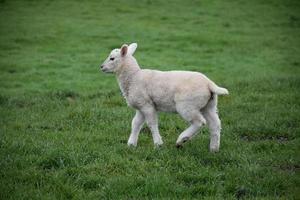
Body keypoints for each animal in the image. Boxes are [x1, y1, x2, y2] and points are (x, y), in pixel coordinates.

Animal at [99, 42, 229, 152]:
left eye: (112, 58)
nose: (101, 67)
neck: (133, 77)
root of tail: (209, 84)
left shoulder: (147, 105)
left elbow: (151, 124)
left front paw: (158, 144)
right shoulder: (140, 106)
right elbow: (135, 124)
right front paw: (131, 144)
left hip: (187, 105)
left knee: (199, 122)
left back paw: (182, 139)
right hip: (209, 105)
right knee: (215, 124)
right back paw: (214, 149)